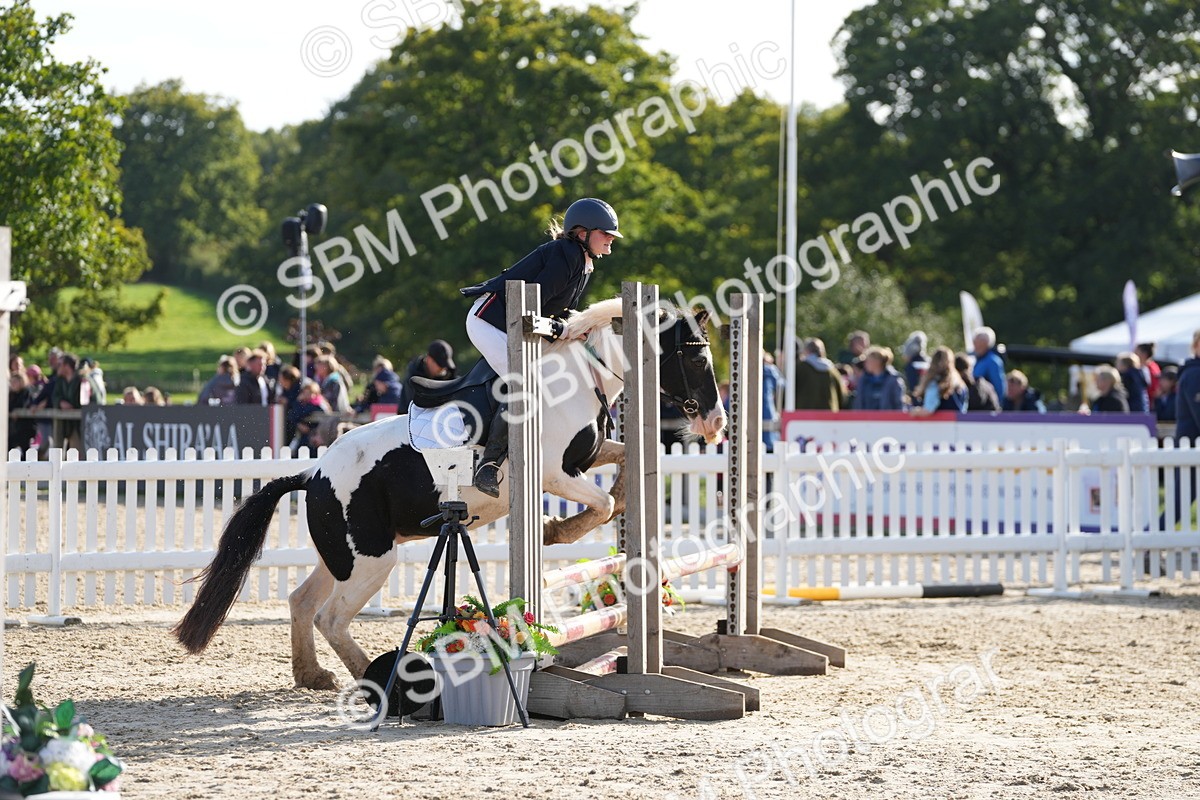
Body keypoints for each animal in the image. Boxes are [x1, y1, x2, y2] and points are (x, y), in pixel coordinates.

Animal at [171, 297, 726, 690]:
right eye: (695, 360)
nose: (716, 423)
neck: (582, 375)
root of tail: (313, 474)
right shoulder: (552, 473)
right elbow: (602, 503)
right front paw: (554, 530)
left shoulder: (584, 459)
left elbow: (623, 471)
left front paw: (609, 502)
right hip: (372, 560)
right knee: (331, 616)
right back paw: (372, 676)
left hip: (344, 556)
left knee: (302, 601)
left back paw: (313, 676)